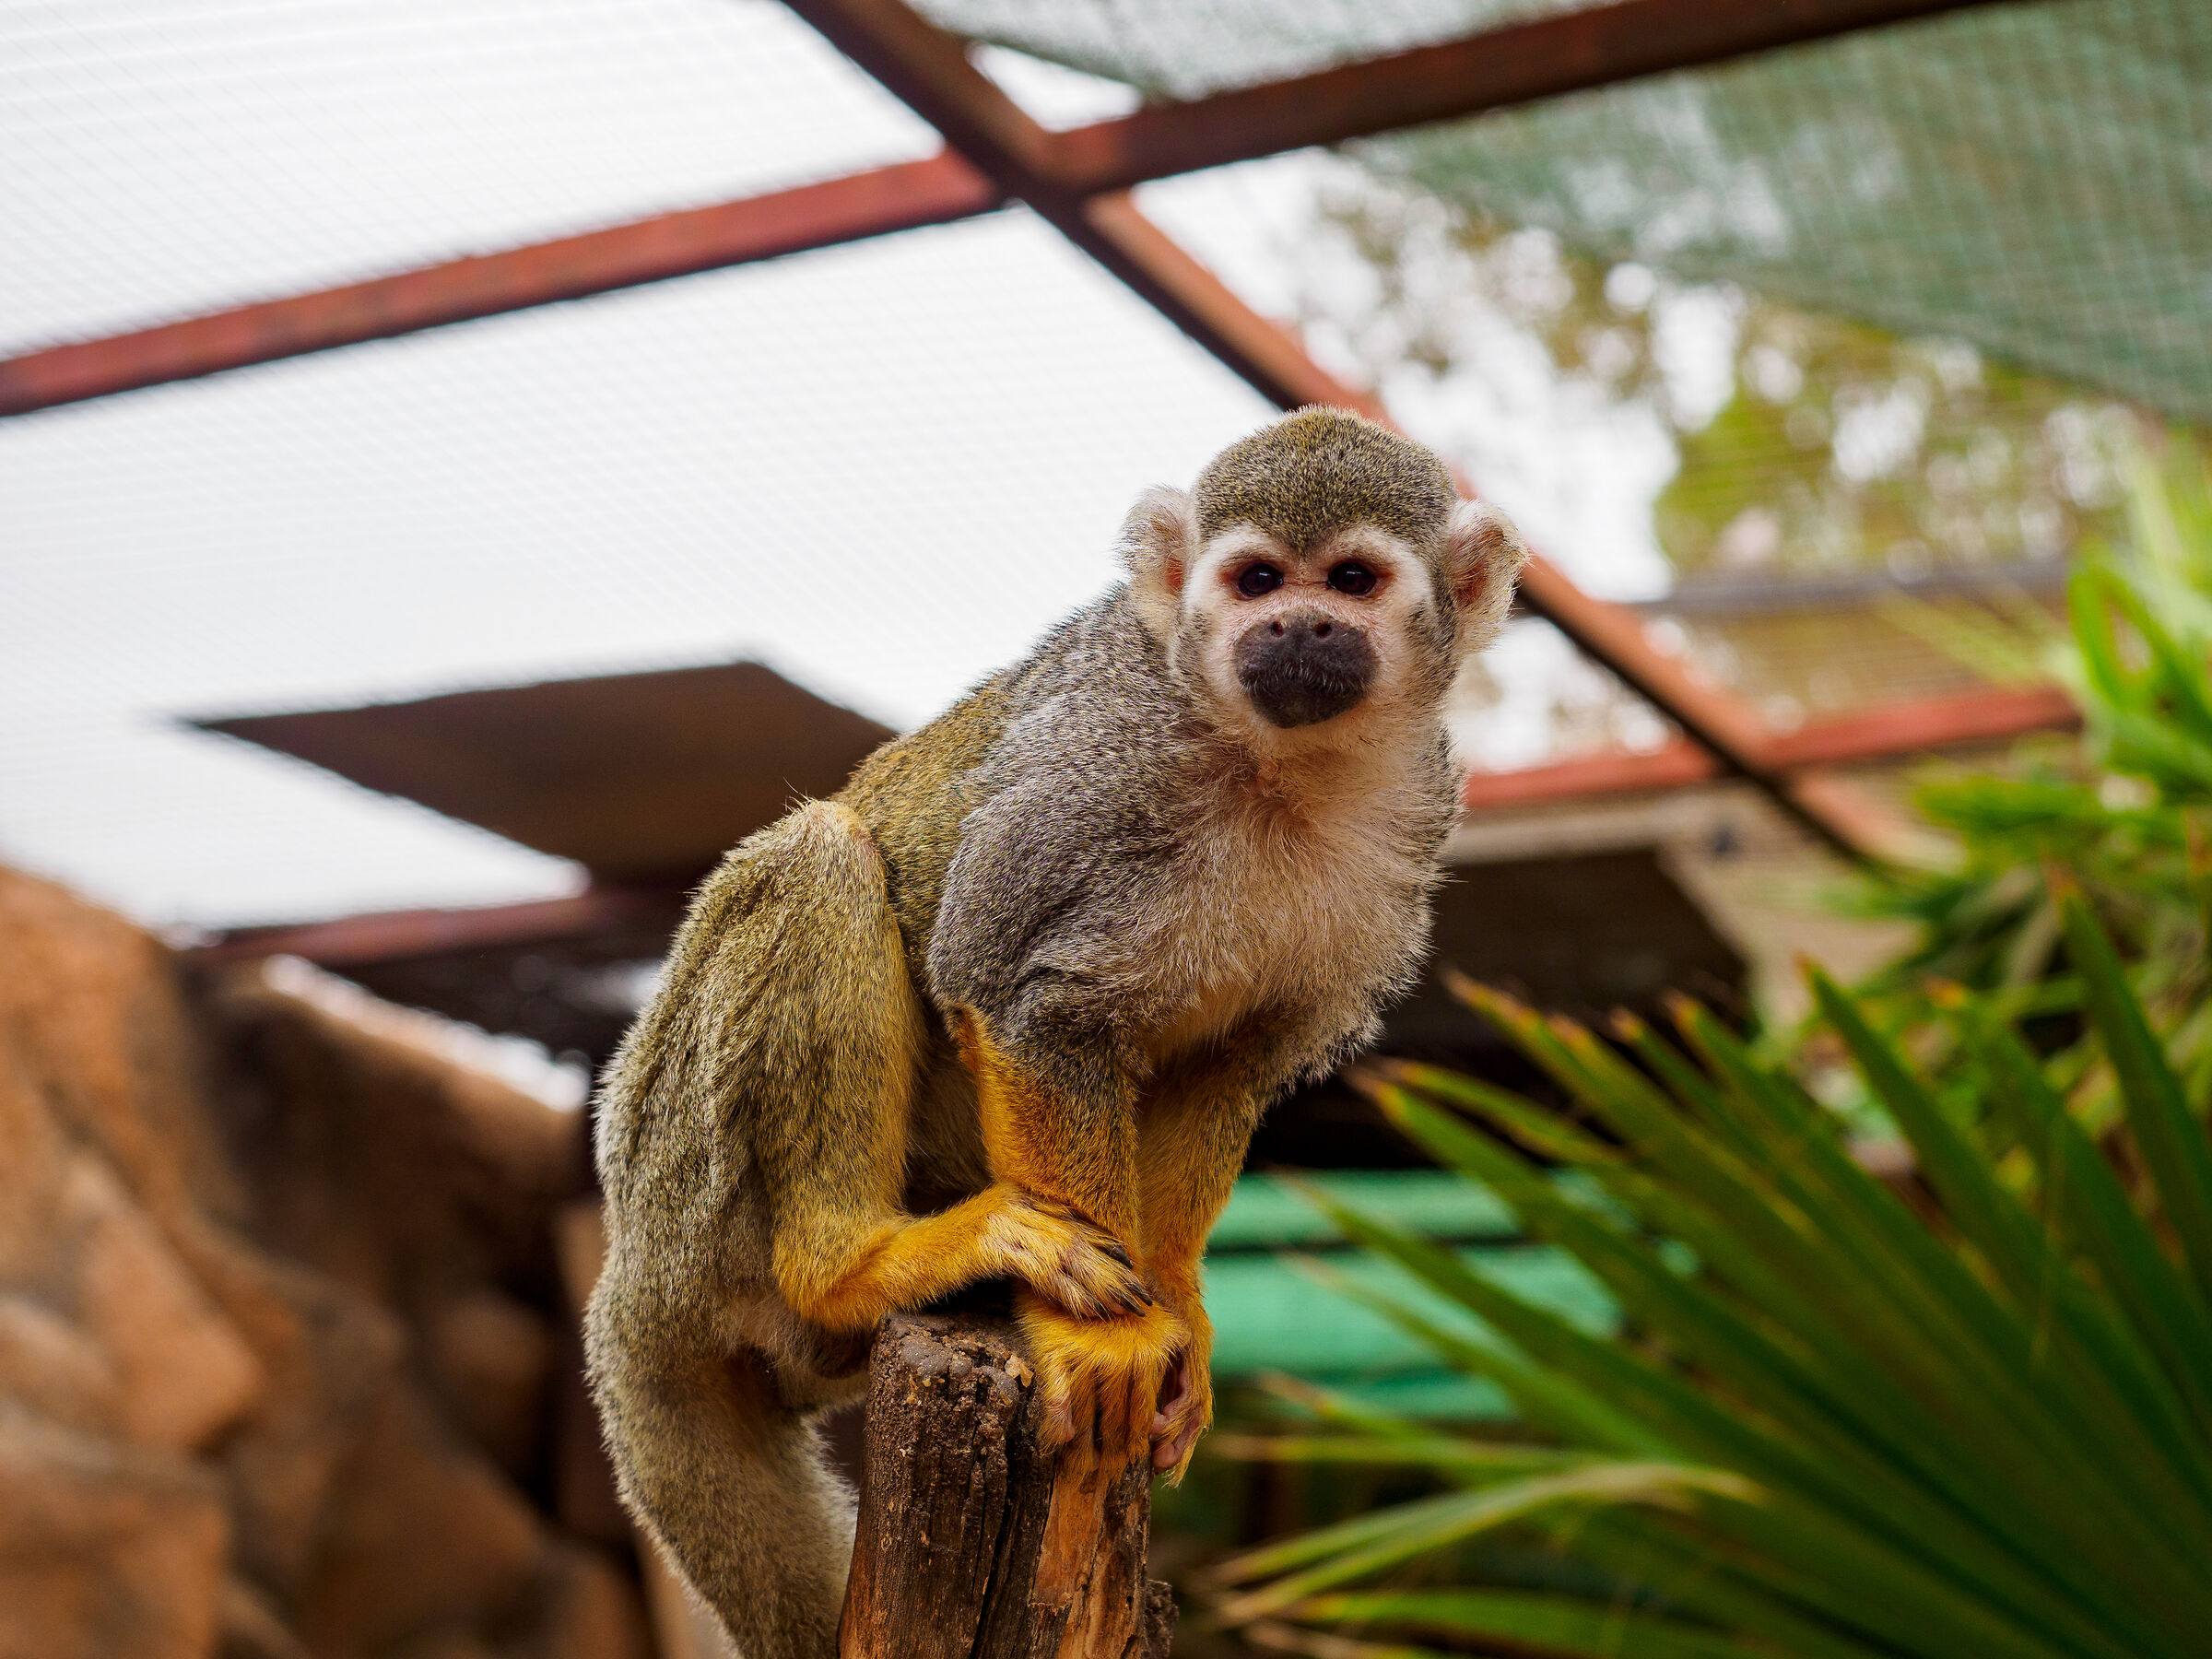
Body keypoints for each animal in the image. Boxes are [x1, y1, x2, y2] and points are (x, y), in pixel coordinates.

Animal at [583, 407, 1527, 1658]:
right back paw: (853, 1261)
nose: (1297, 625)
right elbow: (1006, 982)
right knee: (823, 858)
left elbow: (1233, 1065)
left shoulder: (1412, 826)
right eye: (1256, 579)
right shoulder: (1093, 780)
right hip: (684, 1176)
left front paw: (1173, 1314)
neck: (1276, 764)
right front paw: (1101, 1343)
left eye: (1355, 581)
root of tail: (627, 1285)